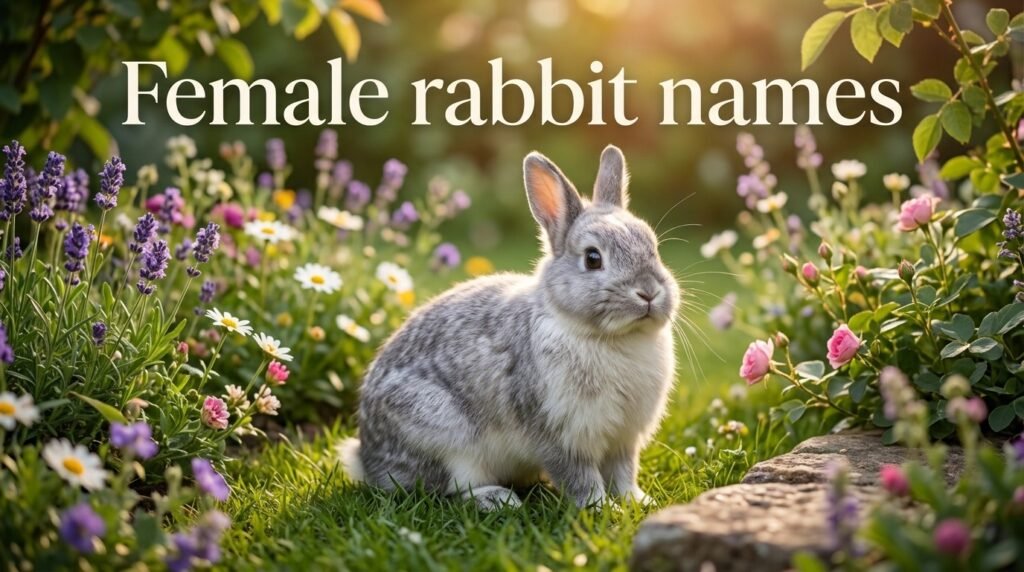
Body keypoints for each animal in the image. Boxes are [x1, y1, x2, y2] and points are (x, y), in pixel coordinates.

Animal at [339, 145, 679, 510]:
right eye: (592, 258)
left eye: (654, 247)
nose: (648, 292)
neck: (611, 337)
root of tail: (366, 458)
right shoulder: (560, 434)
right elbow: (580, 478)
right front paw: (602, 508)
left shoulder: (623, 439)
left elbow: (623, 473)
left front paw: (639, 502)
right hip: (442, 437)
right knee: (449, 488)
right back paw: (499, 499)